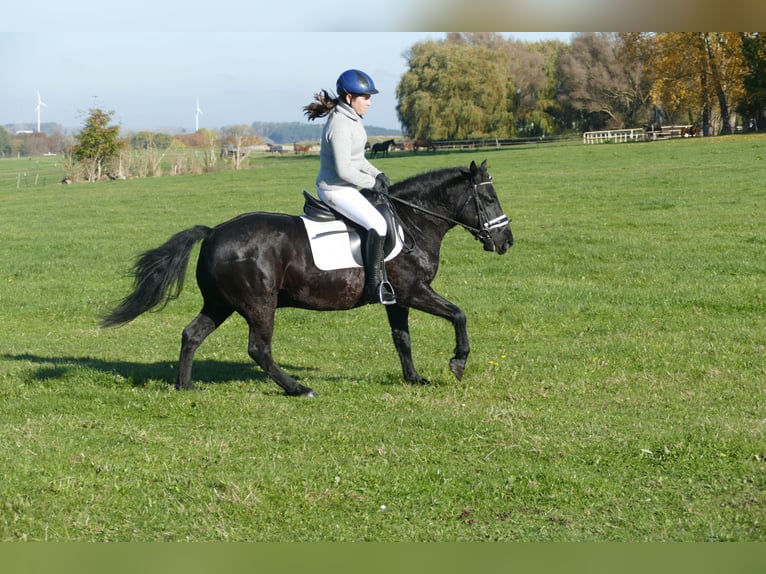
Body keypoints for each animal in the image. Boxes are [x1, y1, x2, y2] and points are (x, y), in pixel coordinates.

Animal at [99, 160, 512, 398]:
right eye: (489, 199)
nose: (506, 241)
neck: (411, 222)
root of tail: (214, 232)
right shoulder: (414, 291)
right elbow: (458, 315)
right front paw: (457, 363)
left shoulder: (397, 298)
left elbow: (402, 340)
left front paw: (414, 379)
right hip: (258, 303)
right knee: (259, 349)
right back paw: (298, 389)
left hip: (221, 303)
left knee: (192, 335)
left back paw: (185, 386)